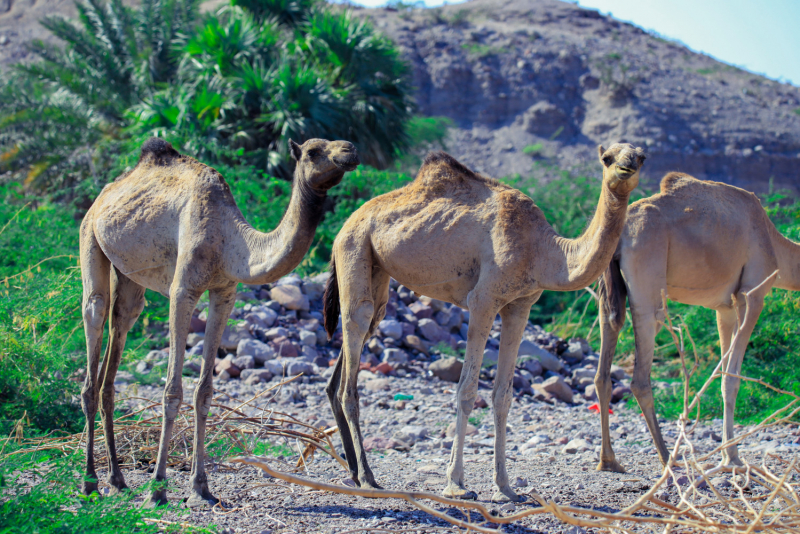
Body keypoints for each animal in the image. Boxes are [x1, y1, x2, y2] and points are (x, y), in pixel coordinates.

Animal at [79, 136, 360, 508]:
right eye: (314, 151)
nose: (350, 150)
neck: (230, 242)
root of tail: (105, 194)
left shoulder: (225, 292)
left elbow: (204, 391)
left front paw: (201, 488)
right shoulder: (182, 290)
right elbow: (172, 391)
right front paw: (158, 490)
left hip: (129, 275)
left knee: (119, 329)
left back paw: (117, 479)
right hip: (90, 237)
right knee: (94, 318)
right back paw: (90, 483)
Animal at [322, 144, 640, 504]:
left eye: (640, 156)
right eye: (607, 158)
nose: (627, 167)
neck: (542, 250)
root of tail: (344, 226)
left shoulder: (520, 306)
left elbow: (503, 395)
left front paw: (506, 487)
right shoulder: (483, 300)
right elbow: (467, 389)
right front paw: (456, 484)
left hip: (378, 274)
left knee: (353, 350)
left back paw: (353, 472)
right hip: (355, 250)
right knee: (353, 352)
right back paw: (367, 477)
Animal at [592, 174, 788, 476]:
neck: (773, 239)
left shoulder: (725, 308)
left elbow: (724, 375)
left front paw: (728, 456)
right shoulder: (752, 293)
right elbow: (732, 378)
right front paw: (733, 459)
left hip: (608, 289)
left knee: (604, 366)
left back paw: (609, 460)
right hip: (649, 285)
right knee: (640, 377)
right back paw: (667, 459)